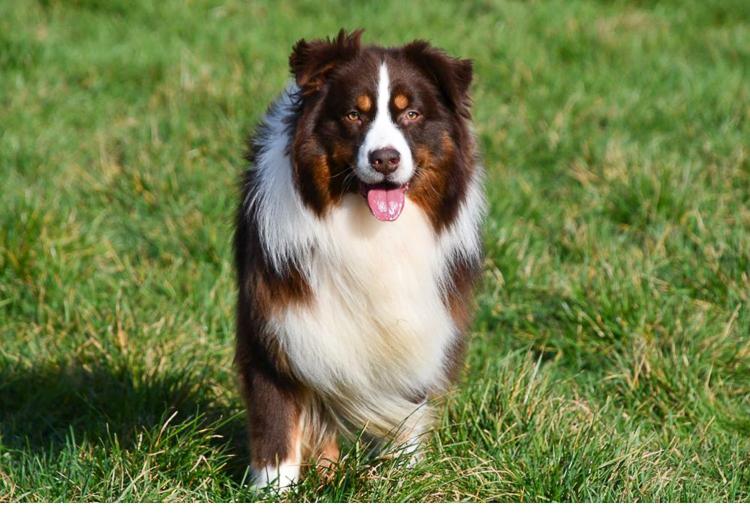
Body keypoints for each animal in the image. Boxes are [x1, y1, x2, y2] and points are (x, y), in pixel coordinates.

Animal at [234, 28, 488, 492]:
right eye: (354, 114)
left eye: (412, 114)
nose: (384, 158)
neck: (370, 228)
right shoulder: (275, 321)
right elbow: (277, 417)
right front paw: (275, 492)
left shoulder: (414, 323)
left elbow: (405, 416)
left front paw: (403, 480)